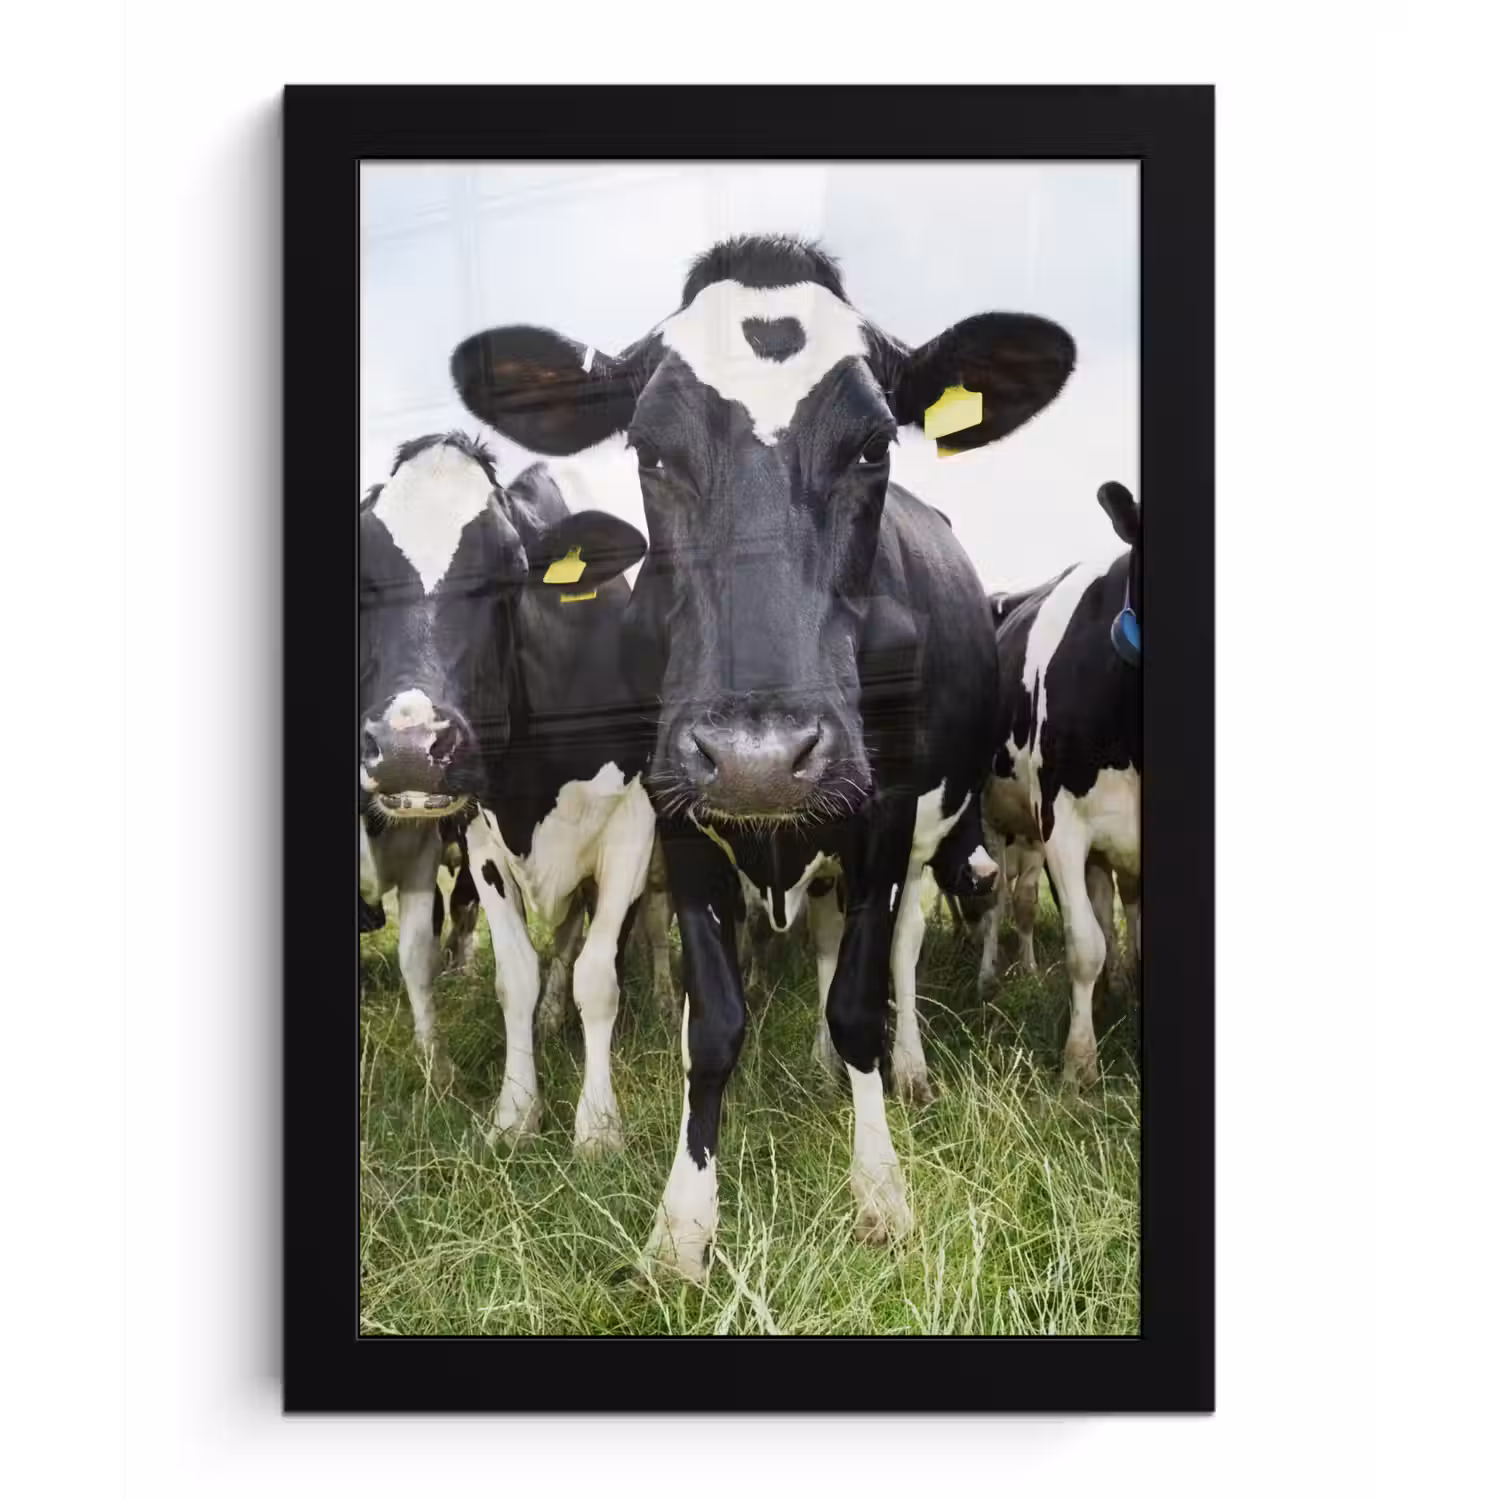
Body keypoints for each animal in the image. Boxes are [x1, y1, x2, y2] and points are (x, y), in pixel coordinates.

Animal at [358, 432, 655, 1151]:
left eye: (510, 572)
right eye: (364, 580)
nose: (408, 749)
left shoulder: (633, 828)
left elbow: (599, 977)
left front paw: (598, 1126)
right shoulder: (482, 838)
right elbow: (515, 975)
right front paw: (517, 1113)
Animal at [450, 234, 1074, 1282]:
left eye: (873, 445)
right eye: (649, 449)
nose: (759, 759)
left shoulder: (883, 812)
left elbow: (860, 999)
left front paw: (880, 1190)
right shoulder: (676, 812)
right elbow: (712, 1022)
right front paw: (683, 1225)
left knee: (896, 953)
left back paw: (900, 1071)